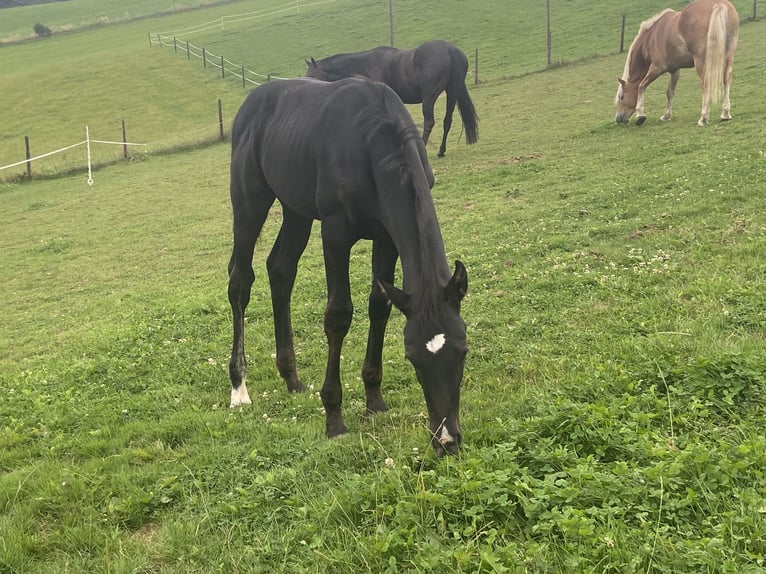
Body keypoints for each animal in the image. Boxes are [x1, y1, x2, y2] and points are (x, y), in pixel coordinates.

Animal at [225, 76, 472, 456]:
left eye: (462, 352)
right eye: (412, 358)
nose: (446, 440)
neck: (373, 138)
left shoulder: (386, 237)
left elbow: (379, 306)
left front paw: (374, 399)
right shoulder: (335, 232)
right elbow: (338, 316)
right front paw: (334, 417)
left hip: (295, 210)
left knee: (281, 269)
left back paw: (291, 377)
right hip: (250, 201)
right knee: (240, 281)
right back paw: (239, 388)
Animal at [306, 39, 480, 159]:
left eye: (311, 74)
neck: (366, 65)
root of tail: (449, 49)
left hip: (429, 97)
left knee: (429, 121)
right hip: (452, 93)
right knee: (447, 120)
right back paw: (441, 151)